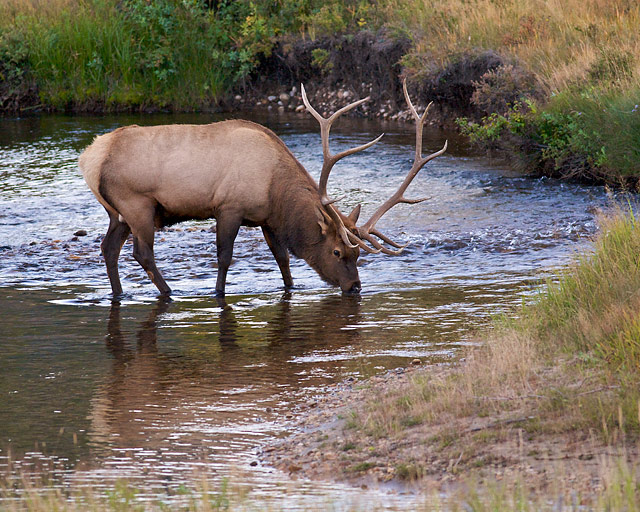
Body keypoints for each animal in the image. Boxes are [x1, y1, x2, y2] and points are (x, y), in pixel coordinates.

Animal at [79, 79, 444, 296]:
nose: (354, 286)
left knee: (108, 248)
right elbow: (224, 257)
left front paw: (291, 288)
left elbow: (282, 258)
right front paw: (218, 292)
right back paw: (168, 293)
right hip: (137, 204)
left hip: (118, 213)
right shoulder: (229, 207)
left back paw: (119, 293)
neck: (275, 188)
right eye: (338, 252)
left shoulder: (267, 219)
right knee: (141, 253)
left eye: (358, 253)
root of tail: (90, 158)